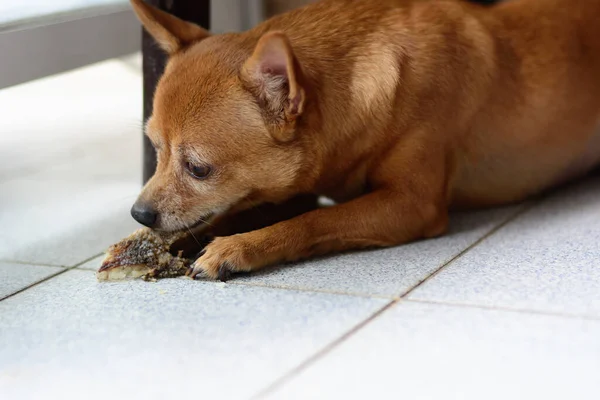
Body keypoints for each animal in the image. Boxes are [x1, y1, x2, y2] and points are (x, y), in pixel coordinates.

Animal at [129, 0, 600, 282]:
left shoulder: (411, 204)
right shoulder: (293, 189)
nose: (138, 213)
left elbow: (314, 221)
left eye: (198, 168)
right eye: (155, 150)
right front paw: (164, 245)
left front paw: (240, 246)